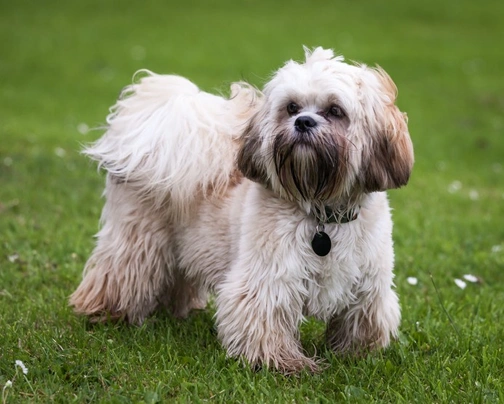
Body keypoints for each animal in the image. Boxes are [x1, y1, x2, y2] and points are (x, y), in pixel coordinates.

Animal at [72, 46, 418, 372]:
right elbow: (264, 320)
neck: (322, 212)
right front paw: (282, 363)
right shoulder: (268, 279)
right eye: (291, 107)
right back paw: (106, 312)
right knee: (121, 271)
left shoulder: (369, 287)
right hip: (139, 238)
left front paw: (354, 356)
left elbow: (361, 321)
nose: (303, 121)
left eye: (335, 110)